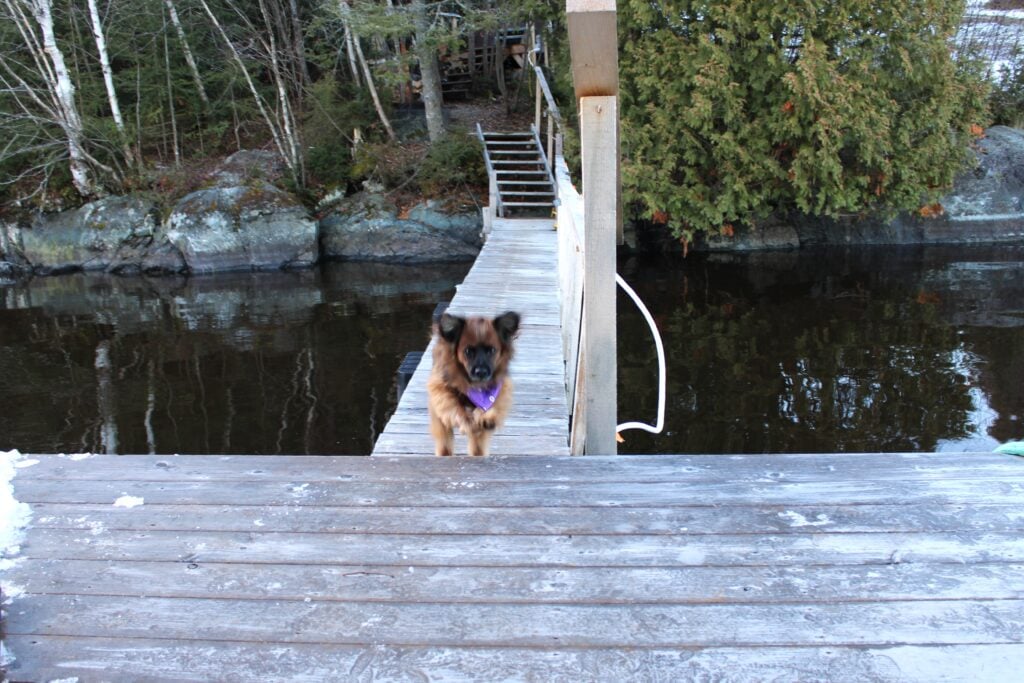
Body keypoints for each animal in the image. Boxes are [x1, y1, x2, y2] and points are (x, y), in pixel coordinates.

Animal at [425, 313, 520, 456]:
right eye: (468, 351)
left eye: (491, 350)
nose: (481, 372)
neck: (475, 386)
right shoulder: (440, 390)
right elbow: (453, 407)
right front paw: (466, 420)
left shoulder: (501, 389)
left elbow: (491, 407)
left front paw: (486, 417)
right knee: (445, 443)